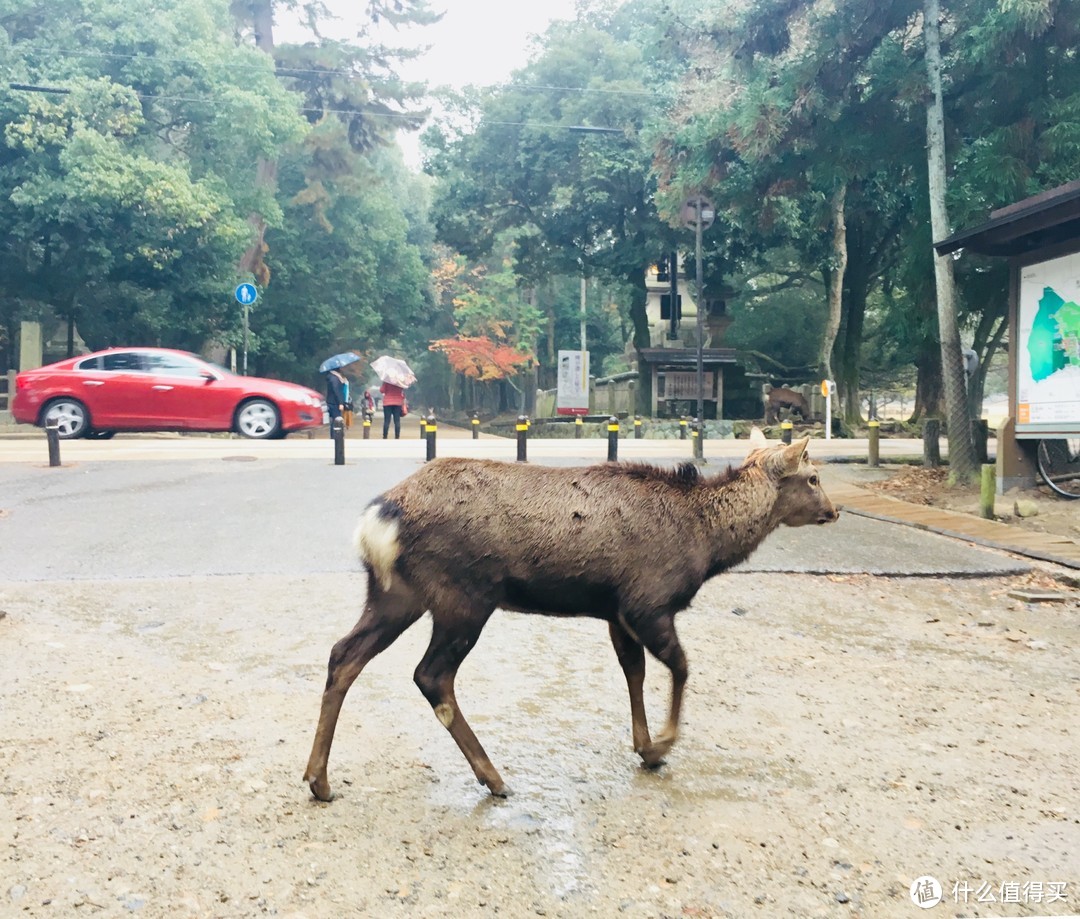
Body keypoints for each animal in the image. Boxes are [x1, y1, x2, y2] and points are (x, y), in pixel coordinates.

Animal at [300, 434, 838, 803]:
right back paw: (493, 777)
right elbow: (681, 667)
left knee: (344, 655)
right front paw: (662, 746)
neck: (705, 547)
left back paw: (319, 779)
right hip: (463, 597)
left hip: (396, 594)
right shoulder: (648, 600)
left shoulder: (616, 611)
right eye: (813, 476)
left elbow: (634, 670)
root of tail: (377, 521)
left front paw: (643, 745)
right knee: (431, 675)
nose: (833, 511)